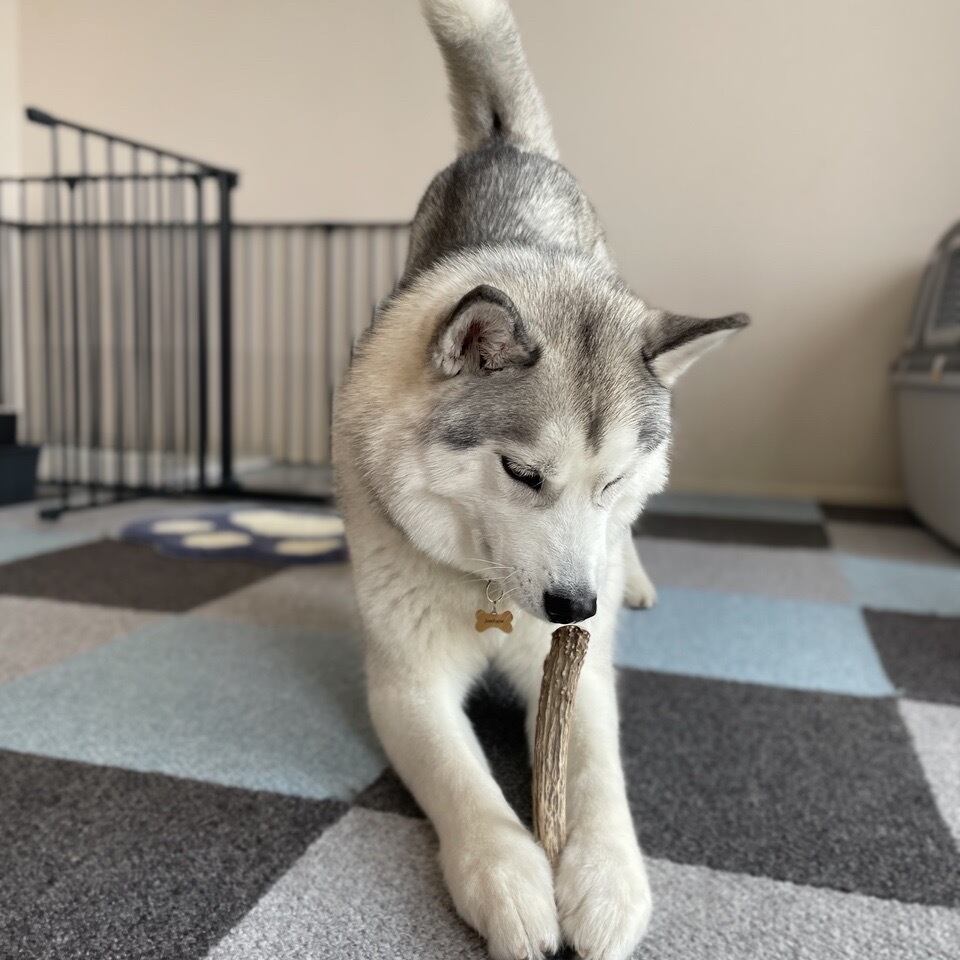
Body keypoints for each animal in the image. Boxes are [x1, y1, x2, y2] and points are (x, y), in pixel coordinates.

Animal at [333, 1, 749, 957]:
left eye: (611, 481)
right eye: (522, 473)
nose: (575, 605)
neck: (489, 594)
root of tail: (505, 145)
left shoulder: (580, 672)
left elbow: (597, 773)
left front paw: (606, 880)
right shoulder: (406, 684)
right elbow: (464, 788)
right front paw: (510, 880)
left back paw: (632, 579)